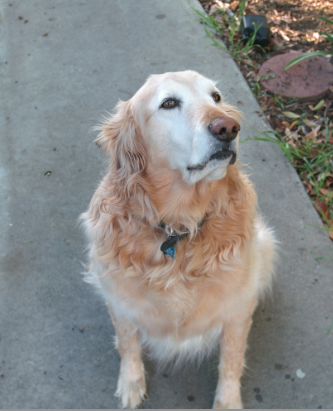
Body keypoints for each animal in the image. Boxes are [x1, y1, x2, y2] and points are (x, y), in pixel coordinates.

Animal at [81, 70, 276, 408]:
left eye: (216, 97)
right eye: (168, 103)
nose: (228, 128)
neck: (179, 227)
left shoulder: (237, 310)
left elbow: (231, 359)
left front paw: (227, 401)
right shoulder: (120, 304)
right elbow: (128, 344)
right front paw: (131, 382)